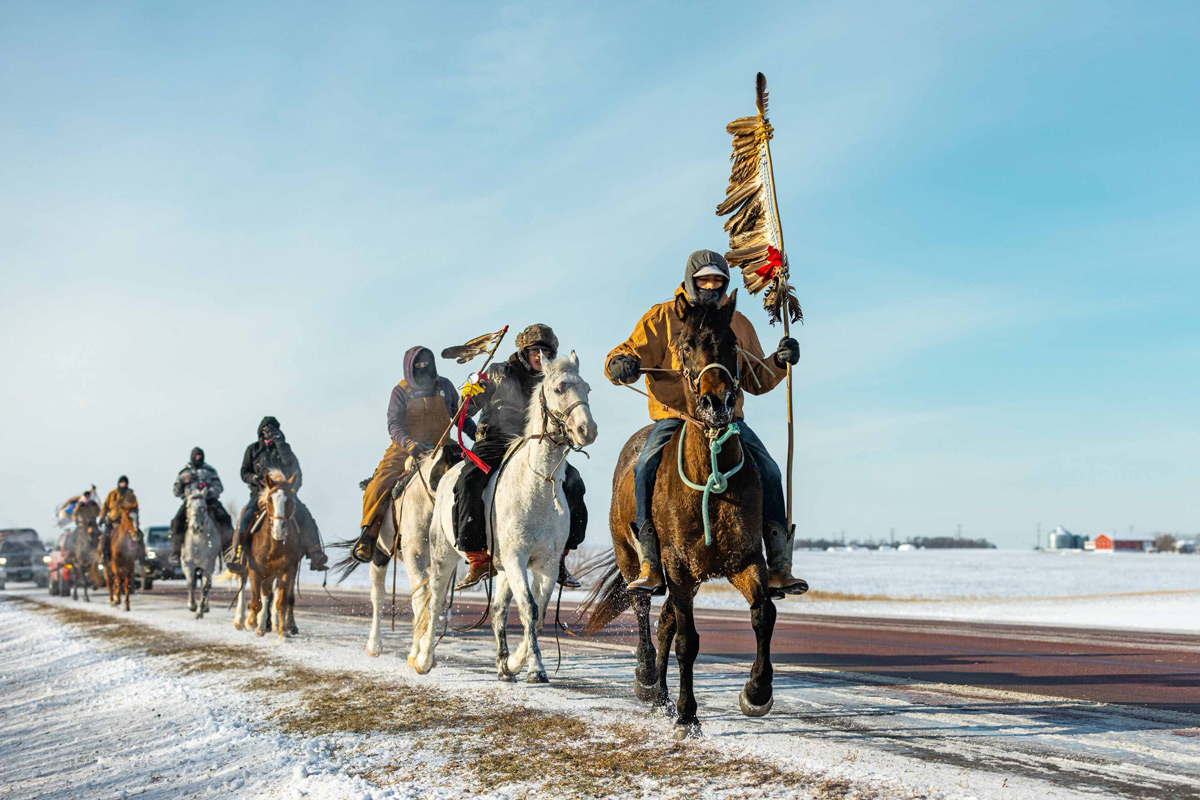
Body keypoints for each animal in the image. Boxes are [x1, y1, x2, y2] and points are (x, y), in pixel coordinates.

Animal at [181, 482, 222, 618]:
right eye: (188, 506)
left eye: (203, 507)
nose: (195, 526)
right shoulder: (188, 564)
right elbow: (191, 584)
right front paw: (192, 605)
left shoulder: (209, 565)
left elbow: (205, 587)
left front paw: (199, 611)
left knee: (207, 585)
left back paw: (205, 607)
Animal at [231, 470, 302, 638]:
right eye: (270, 499)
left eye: (290, 500)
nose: (278, 530)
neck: (274, 544)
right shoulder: (254, 570)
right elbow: (255, 602)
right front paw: (250, 622)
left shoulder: (287, 571)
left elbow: (281, 602)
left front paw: (283, 633)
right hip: (244, 567)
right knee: (242, 584)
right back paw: (241, 620)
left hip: (270, 573)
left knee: (267, 591)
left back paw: (262, 625)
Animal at [415, 355, 597, 681]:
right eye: (559, 387)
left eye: (587, 387)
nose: (587, 430)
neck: (537, 485)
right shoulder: (516, 559)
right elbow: (528, 608)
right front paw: (535, 668)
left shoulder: (548, 564)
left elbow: (538, 612)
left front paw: (516, 662)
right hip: (443, 555)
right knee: (435, 602)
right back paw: (424, 659)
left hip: (500, 569)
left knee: (498, 609)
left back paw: (503, 666)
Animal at [583, 291, 772, 743]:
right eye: (685, 346)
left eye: (732, 343)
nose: (717, 402)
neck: (711, 475)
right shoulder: (679, 566)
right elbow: (688, 639)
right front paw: (688, 716)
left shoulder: (744, 560)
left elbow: (763, 613)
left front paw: (757, 692)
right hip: (634, 559)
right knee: (642, 610)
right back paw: (647, 679)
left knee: (665, 621)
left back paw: (662, 698)